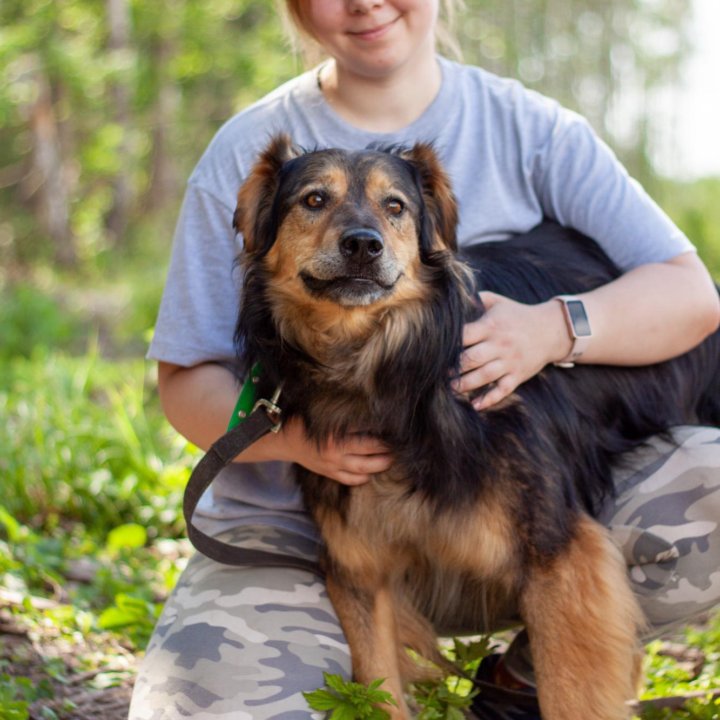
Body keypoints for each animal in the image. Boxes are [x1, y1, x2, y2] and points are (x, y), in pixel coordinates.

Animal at [231, 136, 720, 720]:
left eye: (395, 206)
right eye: (313, 200)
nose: (363, 245)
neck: (388, 374)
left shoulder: (559, 555)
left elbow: (570, 693)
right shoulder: (357, 567)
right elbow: (378, 689)